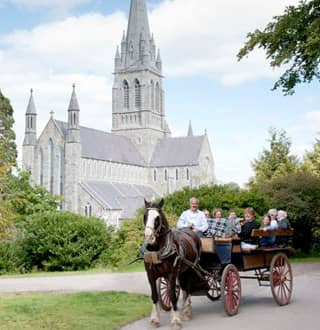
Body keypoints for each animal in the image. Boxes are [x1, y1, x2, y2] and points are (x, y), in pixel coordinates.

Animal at [143, 199, 201, 330]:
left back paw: (186, 312)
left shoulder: (171, 274)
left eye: (157, 218)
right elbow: (155, 296)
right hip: (182, 272)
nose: (149, 237)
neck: (157, 250)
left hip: (191, 269)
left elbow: (172, 295)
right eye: (145, 216)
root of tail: (190, 231)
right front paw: (155, 319)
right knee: (184, 290)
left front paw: (175, 320)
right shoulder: (150, 275)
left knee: (187, 289)